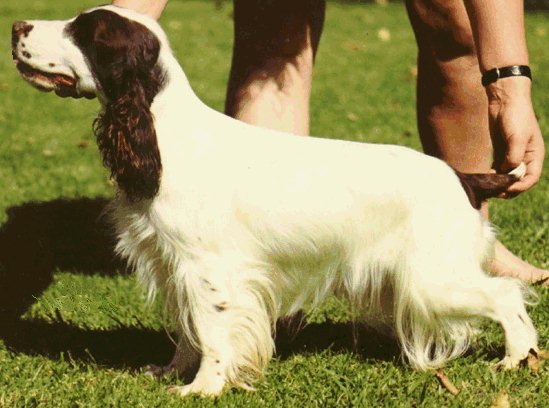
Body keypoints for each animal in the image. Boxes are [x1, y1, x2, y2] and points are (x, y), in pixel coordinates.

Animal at [11, 4, 540, 396]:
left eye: (85, 31)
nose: (16, 26)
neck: (162, 132)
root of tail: (464, 178)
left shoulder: (211, 268)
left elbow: (212, 332)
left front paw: (203, 387)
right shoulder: (175, 264)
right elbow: (187, 330)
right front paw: (172, 372)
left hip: (433, 279)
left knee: (506, 295)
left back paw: (516, 359)